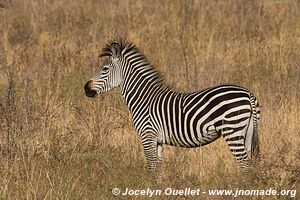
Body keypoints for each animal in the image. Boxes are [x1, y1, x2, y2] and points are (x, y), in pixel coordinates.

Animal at [84, 39, 260, 182]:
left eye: (104, 69)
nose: (86, 88)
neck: (143, 99)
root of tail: (248, 93)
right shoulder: (158, 141)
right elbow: (159, 169)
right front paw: (159, 189)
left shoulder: (147, 136)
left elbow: (151, 167)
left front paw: (147, 189)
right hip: (247, 133)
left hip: (232, 130)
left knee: (245, 165)